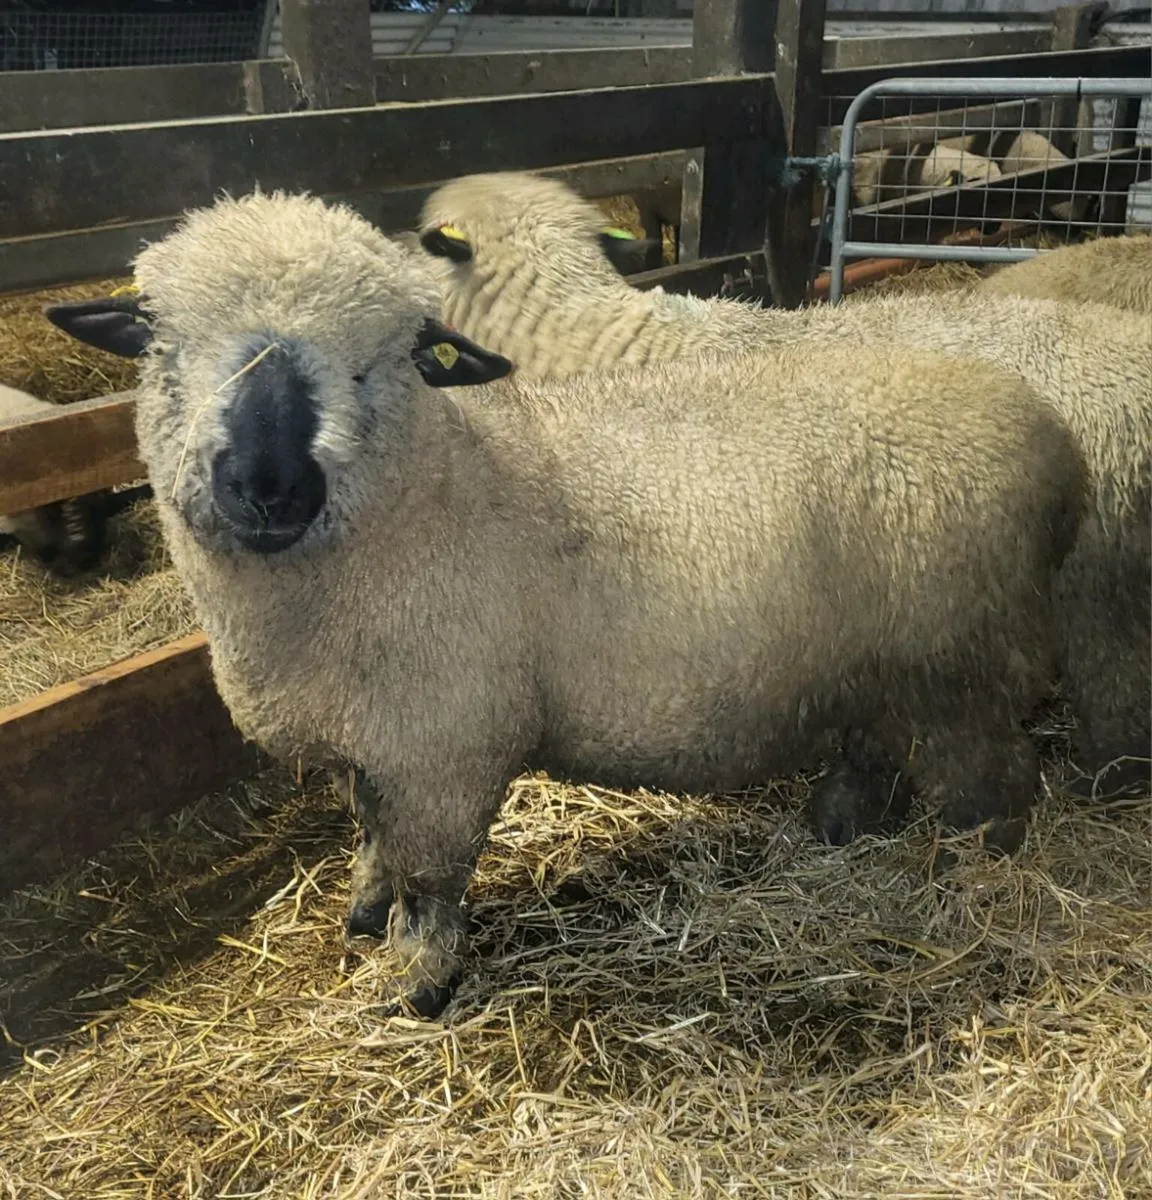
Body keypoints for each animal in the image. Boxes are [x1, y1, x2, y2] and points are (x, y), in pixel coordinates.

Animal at [45, 189, 1087, 1018]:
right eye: (163, 346)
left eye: (379, 362)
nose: (270, 486)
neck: (434, 491)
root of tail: (1049, 435)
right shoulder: (376, 744)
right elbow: (374, 839)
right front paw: (362, 915)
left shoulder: (445, 748)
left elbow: (430, 879)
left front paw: (415, 988)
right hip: (890, 659)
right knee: (875, 742)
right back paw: (839, 824)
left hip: (965, 661)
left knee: (998, 780)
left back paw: (973, 873)